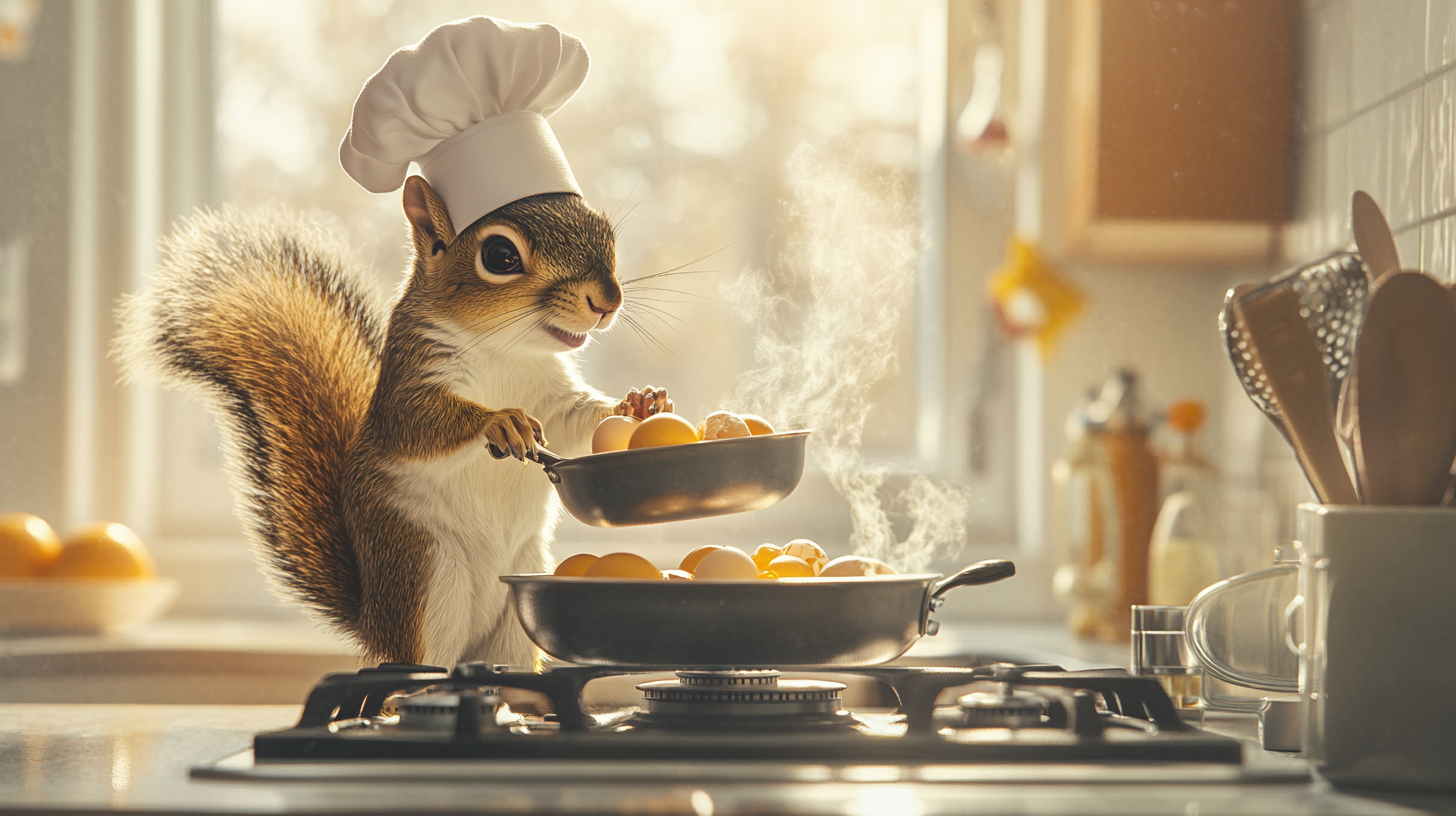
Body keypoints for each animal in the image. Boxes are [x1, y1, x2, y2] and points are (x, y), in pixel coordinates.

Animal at [117, 175, 669, 667]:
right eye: (500, 256)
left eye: (604, 230)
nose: (608, 302)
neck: (506, 350)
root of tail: (373, 621)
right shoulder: (410, 376)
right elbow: (418, 425)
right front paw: (498, 421)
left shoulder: (552, 396)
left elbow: (578, 422)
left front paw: (637, 405)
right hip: (424, 577)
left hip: (515, 614)